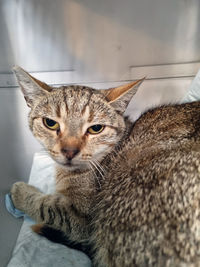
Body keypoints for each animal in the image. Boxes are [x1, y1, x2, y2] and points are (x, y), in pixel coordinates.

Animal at [10, 65, 200, 267]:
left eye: (96, 128)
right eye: (50, 123)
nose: (69, 151)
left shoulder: (82, 218)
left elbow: (46, 206)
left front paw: (20, 192)